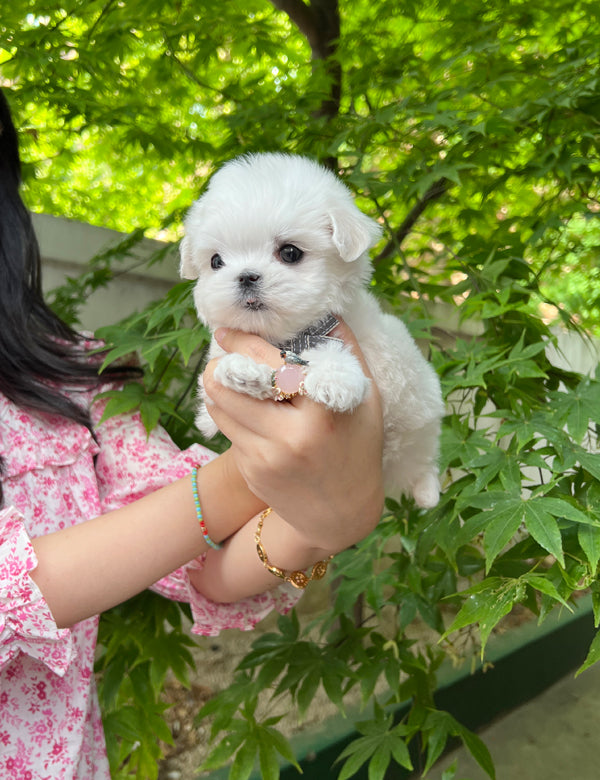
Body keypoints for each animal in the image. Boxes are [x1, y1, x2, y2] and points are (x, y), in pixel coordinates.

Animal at [180, 154, 442, 506]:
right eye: (216, 261)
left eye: (290, 253)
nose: (246, 275)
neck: (287, 336)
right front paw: (242, 372)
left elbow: (334, 350)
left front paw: (335, 378)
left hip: (422, 414)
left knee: (425, 457)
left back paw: (428, 491)